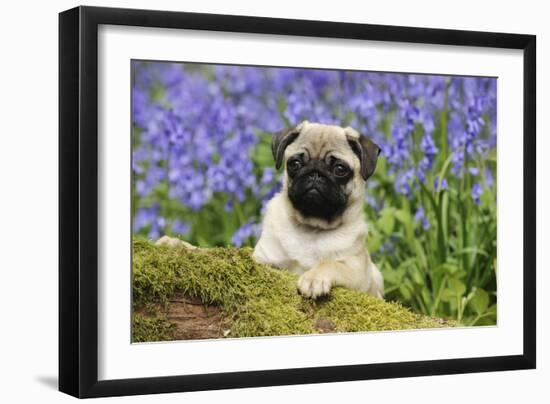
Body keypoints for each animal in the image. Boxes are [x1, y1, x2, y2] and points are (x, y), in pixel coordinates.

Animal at [253, 120, 386, 300]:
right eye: (295, 164)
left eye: (339, 169)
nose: (315, 173)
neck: (312, 227)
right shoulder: (264, 257)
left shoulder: (357, 271)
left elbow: (330, 263)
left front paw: (313, 278)